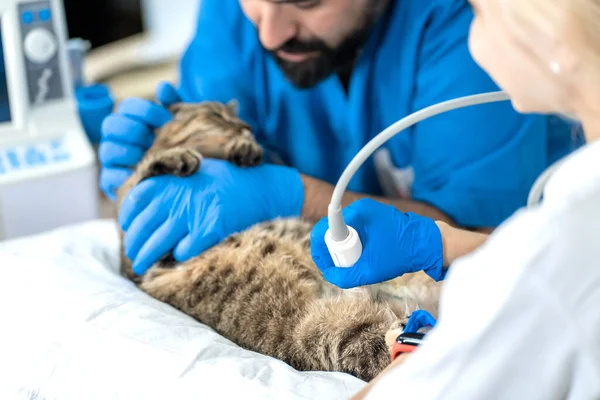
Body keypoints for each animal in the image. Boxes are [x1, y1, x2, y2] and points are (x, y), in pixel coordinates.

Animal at [117, 100, 442, 382]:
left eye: (238, 118)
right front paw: (177, 157)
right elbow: (139, 176)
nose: (247, 127)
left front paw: (243, 150)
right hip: (322, 330)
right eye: (217, 115)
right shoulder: (142, 259)